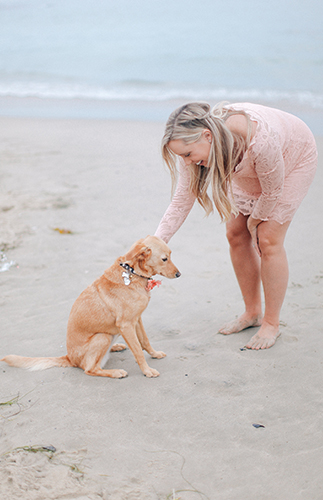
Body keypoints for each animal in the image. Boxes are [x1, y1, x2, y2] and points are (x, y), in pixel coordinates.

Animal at [1, 236, 181, 376]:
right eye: (164, 259)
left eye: (171, 255)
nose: (179, 274)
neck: (132, 273)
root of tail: (69, 358)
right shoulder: (126, 325)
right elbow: (137, 350)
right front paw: (147, 371)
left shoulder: (137, 320)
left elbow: (144, 341)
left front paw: (155, 354)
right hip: (102, 337)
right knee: (91, 369)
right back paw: (115, 372)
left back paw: (116, 347)